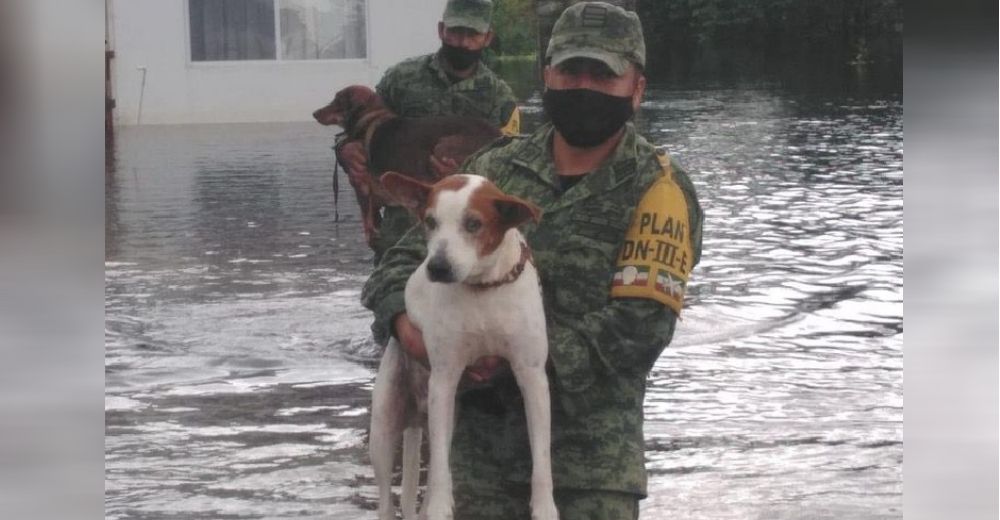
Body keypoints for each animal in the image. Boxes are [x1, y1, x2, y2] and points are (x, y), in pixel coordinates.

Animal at [312, 85, 500, 248]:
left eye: (337, 101)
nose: (314, 113)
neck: (369, 117)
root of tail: (497, 133)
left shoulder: (361, 185)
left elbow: (367, 219)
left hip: (441, 147)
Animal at [370, 174, 560, 520]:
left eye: (474, 224)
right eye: (430, 221)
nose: (438, 267)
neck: (483, 288)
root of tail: (415, 415)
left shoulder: (533, 377)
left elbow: (541, 457)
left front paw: (544, 507)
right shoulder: (445, 376)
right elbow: (440, 472)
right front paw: (442, 505)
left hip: (443, 418)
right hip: (385, 428)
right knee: (388, 501)